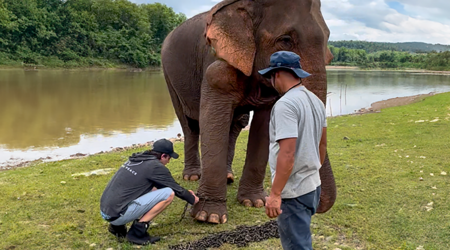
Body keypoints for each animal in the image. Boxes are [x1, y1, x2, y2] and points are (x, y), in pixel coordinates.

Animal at [161, 0, 334, 225]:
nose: (316, 204)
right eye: (286, 40)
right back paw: (192, 176)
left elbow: (264, 124)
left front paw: (255, 203)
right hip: (169, 76)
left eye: (327, 39)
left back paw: (228, 177)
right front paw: (210, 217)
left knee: (235, 124)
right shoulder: (217, 66)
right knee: (189, 124)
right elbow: (211, 119)